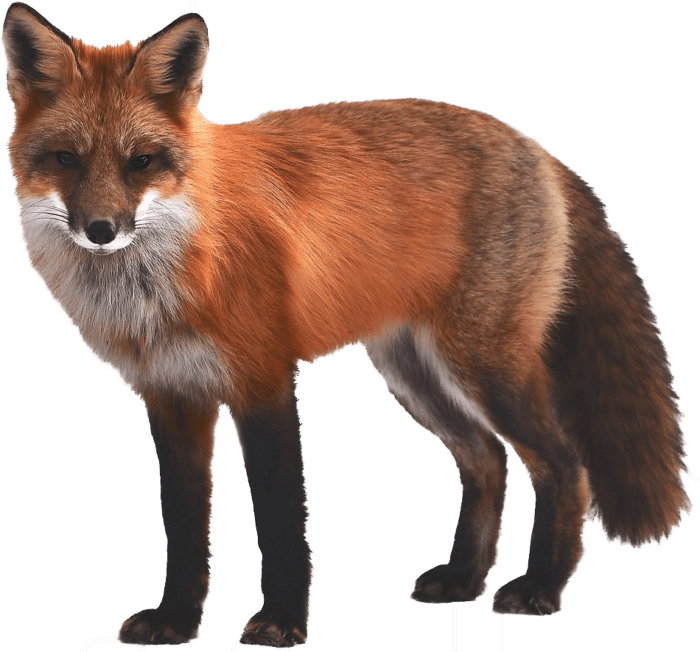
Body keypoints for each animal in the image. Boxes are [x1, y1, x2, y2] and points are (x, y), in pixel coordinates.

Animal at [1, 0, 695, 648]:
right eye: (66, 159)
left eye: (140, 163)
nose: (101, 230)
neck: (177, 265)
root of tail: (536, 146)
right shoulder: (172, 396)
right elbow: (184, 524)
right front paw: (176, 621)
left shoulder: (263, 381)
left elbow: (280, 519)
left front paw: (282, 624)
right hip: (412, 373)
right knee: (487, 460)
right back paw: (464, 580)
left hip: (484, 366)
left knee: (562, 463)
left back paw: (541, 589)